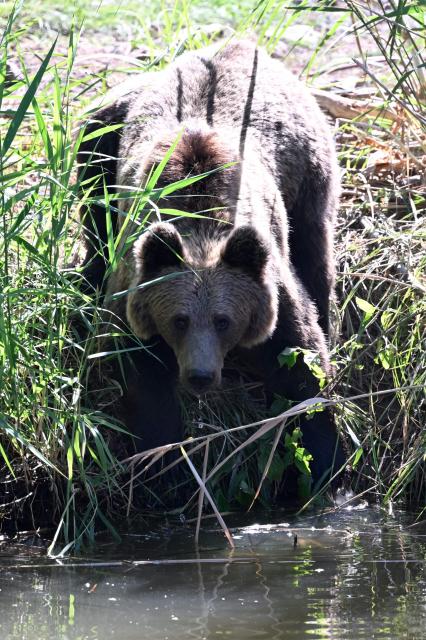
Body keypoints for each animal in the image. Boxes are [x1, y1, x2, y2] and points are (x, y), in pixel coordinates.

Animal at [77, 39, 345, 487]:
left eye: (224, 320)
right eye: (179, 320)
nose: (200, 376)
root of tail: (243, 44)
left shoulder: (268, 284)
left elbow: (300, 361)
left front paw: (322, 463)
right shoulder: (136, 285)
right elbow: (142, 374)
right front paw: (162, 462)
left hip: (307, 168)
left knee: (314, 251)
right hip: (104, 136)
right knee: (93, 202)